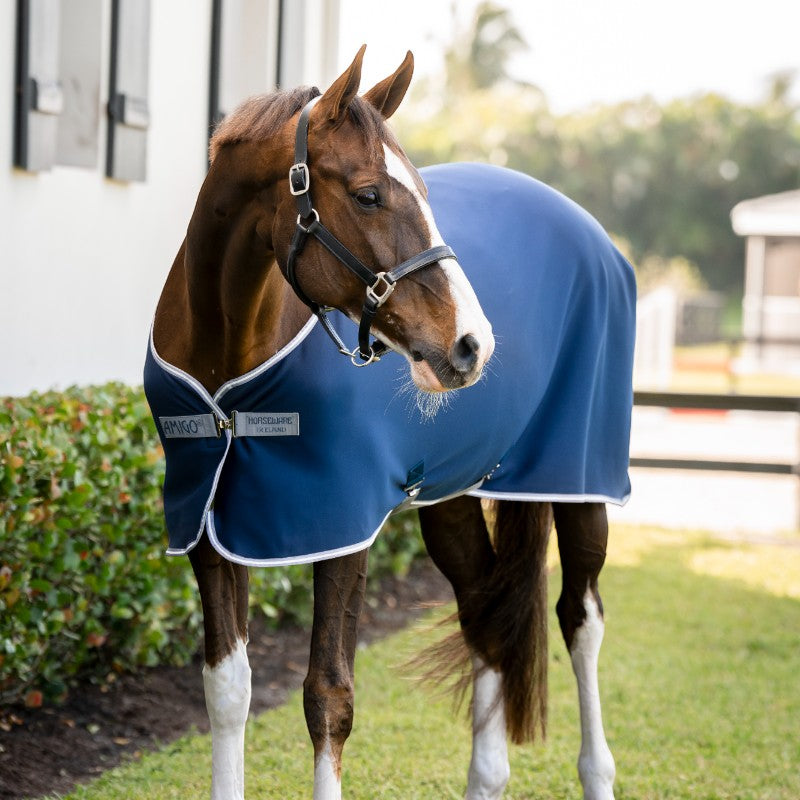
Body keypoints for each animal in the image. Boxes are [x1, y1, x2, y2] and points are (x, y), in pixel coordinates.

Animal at [144, 45, 635, 800]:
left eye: (424, 193)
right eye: (369, 193)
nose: (471, 344)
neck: (229, 359)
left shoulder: (341, 520)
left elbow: (328, 697)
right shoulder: (212, 525)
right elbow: (226, 690)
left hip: (580, 481)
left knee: (580, 620)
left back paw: (594, 767)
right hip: (455, 495)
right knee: (486, 610)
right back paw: (487, 774)